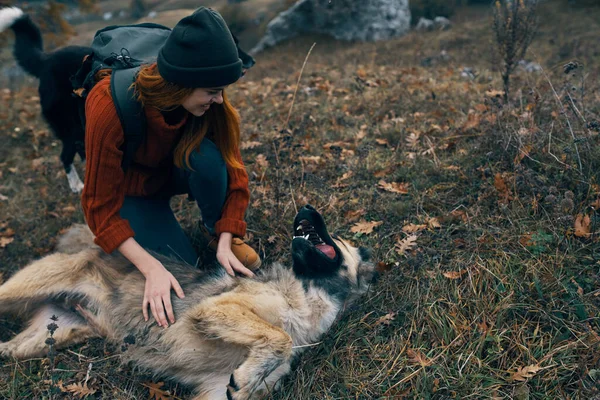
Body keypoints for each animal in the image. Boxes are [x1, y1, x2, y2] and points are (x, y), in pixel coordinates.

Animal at [0, 7, 255, 193]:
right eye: (234, 46)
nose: (251, 61)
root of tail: (45, 60)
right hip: (68, 125)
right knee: (65, 155)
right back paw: (77, 184)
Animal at [0, 206, 376, 400]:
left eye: (337, 238)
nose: (305, 209)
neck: (306, 294)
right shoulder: (215, 310)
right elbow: (278, 337)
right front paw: (250, 374)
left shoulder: (216, 393)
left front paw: (247, 381)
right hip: (25, 286)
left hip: (45, 338)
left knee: (8, 349)